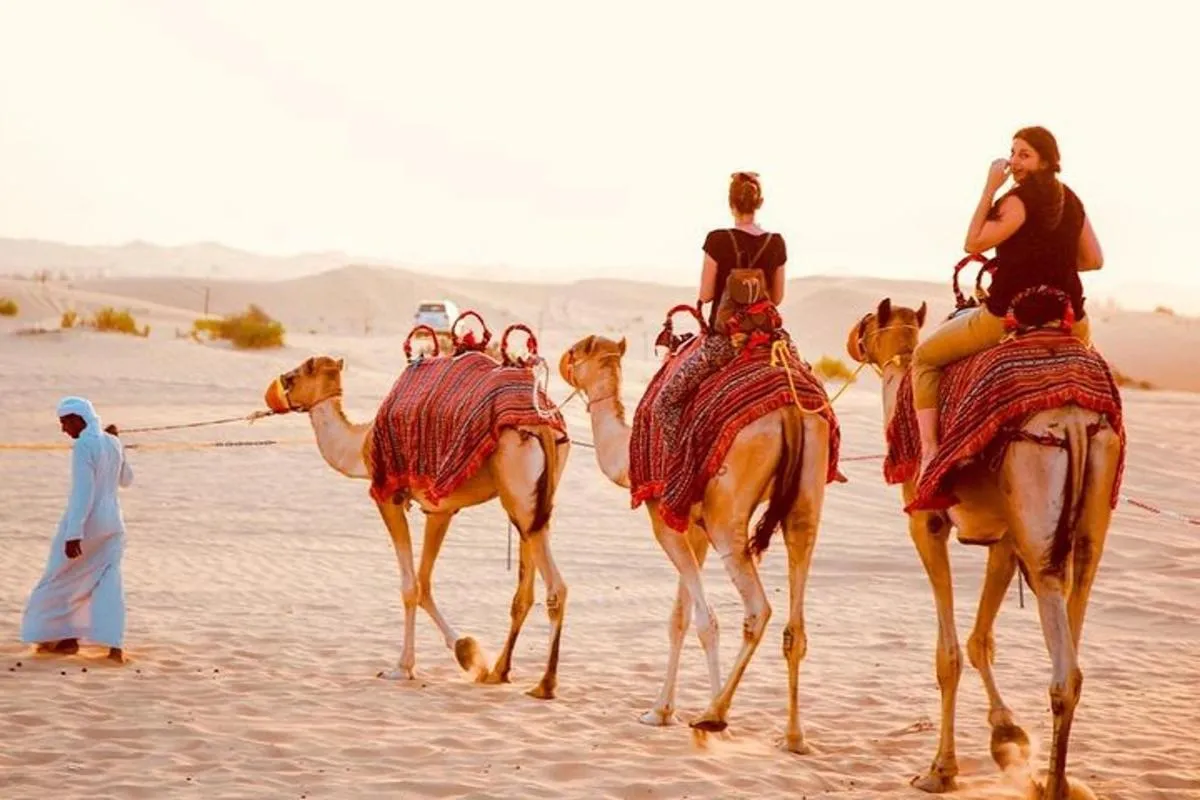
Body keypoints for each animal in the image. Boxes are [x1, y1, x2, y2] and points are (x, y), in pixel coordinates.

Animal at [263, 354, 570, 699]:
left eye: (297, 375)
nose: (276, 387)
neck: (362, 444)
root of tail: (541, 425)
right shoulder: (440, 510)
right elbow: (424, 583)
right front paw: (466, 652)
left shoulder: (388, 496)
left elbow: (410, 587)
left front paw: (402, 668)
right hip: (534, 502)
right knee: (525, 590)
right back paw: (498, 672)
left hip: (518, 489)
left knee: (555, 587)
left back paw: (545, 684)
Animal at [558, 334, 831, 753]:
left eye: (576, 352)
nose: (558, 361)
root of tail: (790, 413)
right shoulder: (694, 531)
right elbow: (679, 618)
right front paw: (659, 711)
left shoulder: (665, 520)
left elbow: (705, 620)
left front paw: (703, 722)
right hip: (807, 497)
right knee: (795, 620)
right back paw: (794, 737)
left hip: (728, 517)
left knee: (757, 609)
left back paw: (713, 715)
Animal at [846, 299, 1122, 799]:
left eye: (868, 320)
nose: (851, 338)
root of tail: (1074, 419)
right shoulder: (1004, 540)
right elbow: (981, 642)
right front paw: (1007, 736)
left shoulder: (927, 524)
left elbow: (949, 655)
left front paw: (941, 769)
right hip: (1089, 514)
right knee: (1076, 628)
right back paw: (1057, 780)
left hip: (1034, 484)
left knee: (1063, 668)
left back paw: (1052, 785)